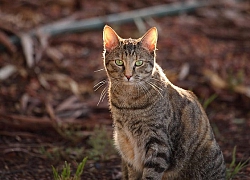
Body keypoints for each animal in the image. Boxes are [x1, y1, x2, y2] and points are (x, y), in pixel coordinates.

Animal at [102, 25, 227, 180]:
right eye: (119, 62)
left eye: (139, 63)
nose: (128, 75)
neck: (128, 100)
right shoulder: (126, 143)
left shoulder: (158, 143)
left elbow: (150, 175)